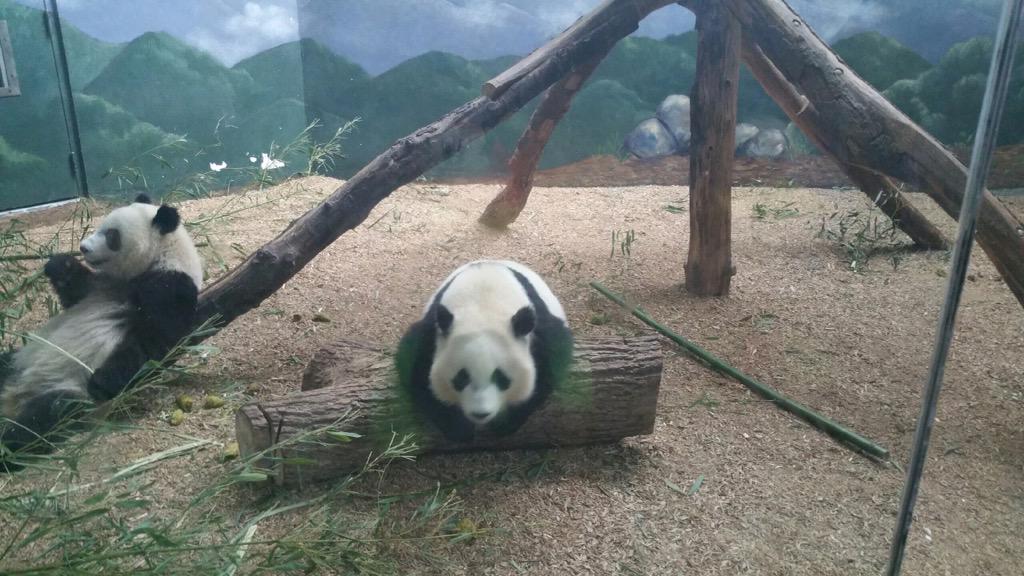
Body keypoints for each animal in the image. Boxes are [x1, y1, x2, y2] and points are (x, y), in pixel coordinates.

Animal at [0, 194, 203, 467]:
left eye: (112, 235)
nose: (83, 247)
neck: (163, 255)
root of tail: (13, 397)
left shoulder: (171, 287)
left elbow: (153, 341)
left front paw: (102, 380)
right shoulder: (99, 285)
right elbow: (75, 292)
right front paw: (60, 264)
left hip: (67, 392)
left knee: (42, 418)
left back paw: (9, 445)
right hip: (17, 362)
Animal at [397, 260, 573, 441]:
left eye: (501, 377)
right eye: (461, 377)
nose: (480, 414)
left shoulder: (540, 329)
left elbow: (549, 367)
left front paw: (504, 423)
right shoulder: (432, 331)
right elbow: (416, 371)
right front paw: (459, 428)